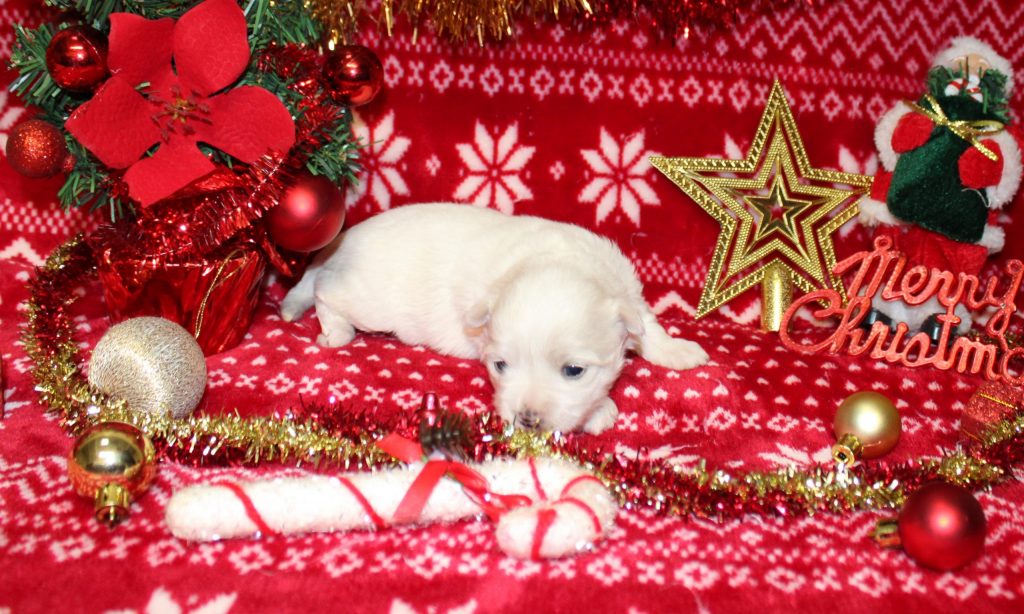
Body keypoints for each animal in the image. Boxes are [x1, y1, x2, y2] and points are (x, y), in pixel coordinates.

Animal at [281, 203, 708, 434]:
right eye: (500, 365)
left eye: (573, 370)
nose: (527, 419)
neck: (557, 261)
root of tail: (343, 240)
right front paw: (601, 411)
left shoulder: (627, 291)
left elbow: (649, 327)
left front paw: (680, 351)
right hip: (366, 298)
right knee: (324, 289)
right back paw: (333, 330)